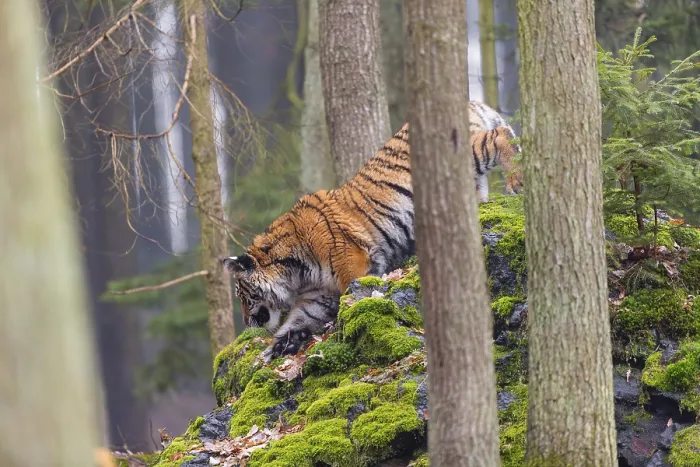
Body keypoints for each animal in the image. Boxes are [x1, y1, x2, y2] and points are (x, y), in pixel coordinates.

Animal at [223, 116, 523, 362]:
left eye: (243, 296)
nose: (247, 323)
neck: (296, 273)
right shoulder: (318, 296)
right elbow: (300, 319)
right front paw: (278, 346)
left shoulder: (352, 263)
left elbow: (353, 294)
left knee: (499, 135)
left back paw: (516, 182)